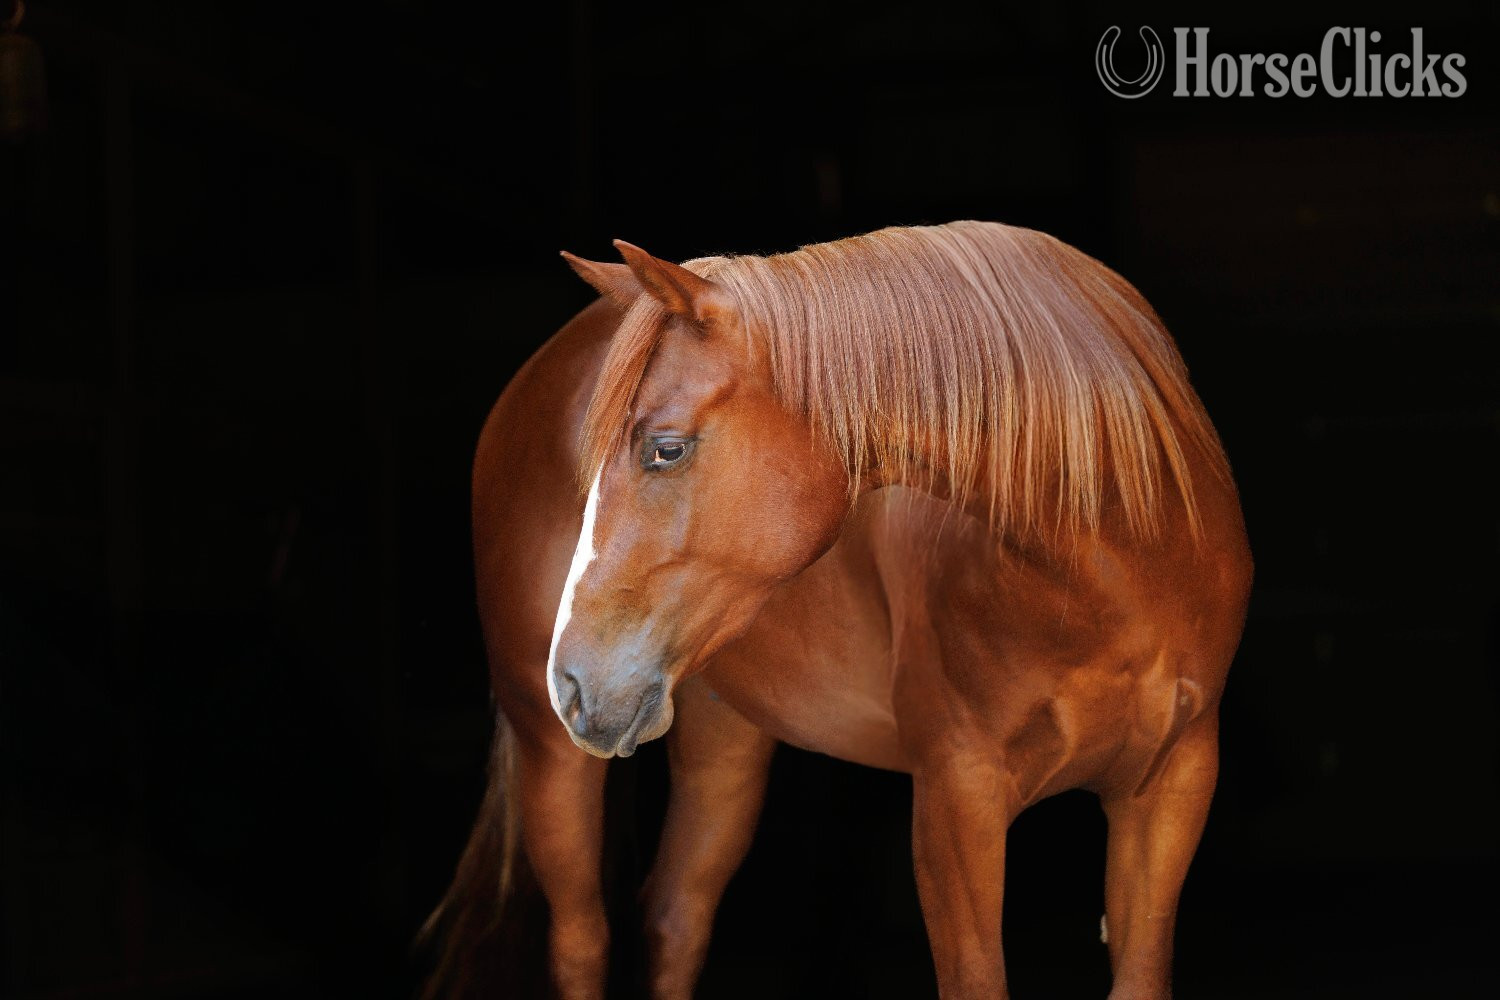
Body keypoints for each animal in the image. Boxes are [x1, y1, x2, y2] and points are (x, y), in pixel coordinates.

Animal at [423, 221, 1252, 999]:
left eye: (666, 448)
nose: (571, 681)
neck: (1118, 570)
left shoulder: (1170, 791)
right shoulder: (956, 799)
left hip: (724, 739)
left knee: (674, 918)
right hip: (553, 754)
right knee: (581, 943)